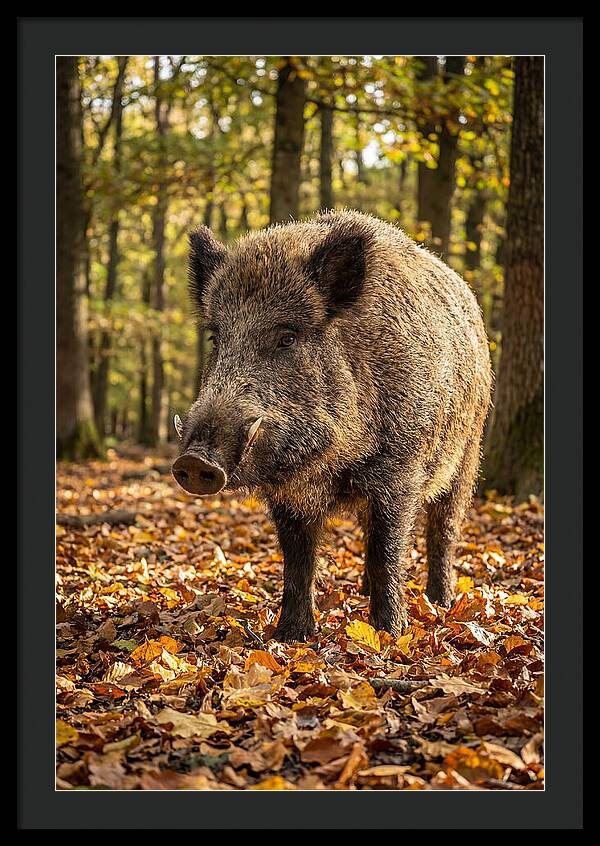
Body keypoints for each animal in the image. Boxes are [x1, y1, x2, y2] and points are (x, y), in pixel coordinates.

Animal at [172, 210, 492, 642]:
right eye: (215, 338)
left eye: (287, 337)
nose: (193, 461)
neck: (329, 463)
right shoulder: (289, 495)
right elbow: (298, 560)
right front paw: (290, 636)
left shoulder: (400, 471)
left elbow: (388, 550)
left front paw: (389, 634)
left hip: (468, 453)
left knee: (443, 529)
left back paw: (440, 602)